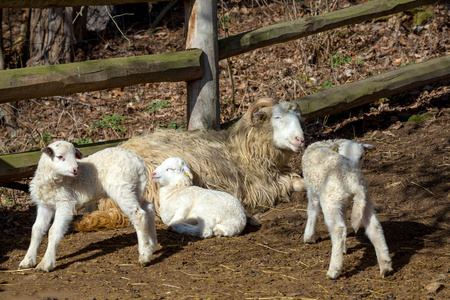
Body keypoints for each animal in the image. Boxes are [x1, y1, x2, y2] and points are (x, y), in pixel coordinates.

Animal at [19, 141, 158, 272]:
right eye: (59, 156)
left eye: (74, 155)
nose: (75, 170)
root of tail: (138, 161)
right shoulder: (45, 205)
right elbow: (36, 230)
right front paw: (27, 261)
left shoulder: (65, 203)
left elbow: (53, 230)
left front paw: (46, 263)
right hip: (136, 188)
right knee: (149, 208)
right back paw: (152, 244)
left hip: (123, 188)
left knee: (138, 215)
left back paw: (144, 256)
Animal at [300, 139, 392, 280]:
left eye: (362, 156)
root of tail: (354, 181)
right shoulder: (341, 203)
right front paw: (344, 247)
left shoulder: (312, 190)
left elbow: (312, 210)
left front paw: (309, 237)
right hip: (364, 200)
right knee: (374, 227)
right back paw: (385, 266)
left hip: (330, 201)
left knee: (338, 229)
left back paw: (334, 270)